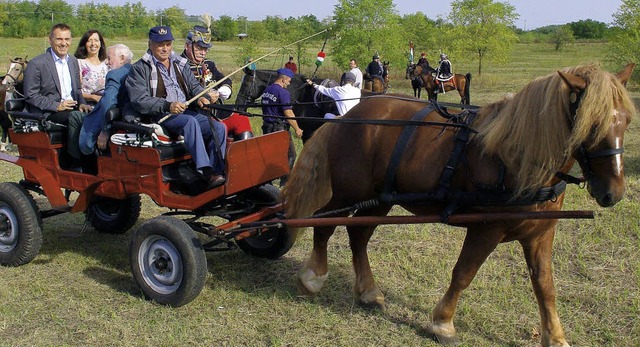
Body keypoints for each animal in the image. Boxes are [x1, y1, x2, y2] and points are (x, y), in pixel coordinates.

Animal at [284, 63, 636, 347]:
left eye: (627, 120)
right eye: (591, 123)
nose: (612, 192)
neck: (517, 159)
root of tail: (348, 117)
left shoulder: (540, 233)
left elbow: (545, 285)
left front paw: (555, 336)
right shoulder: (486, 229)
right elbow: (464, 273)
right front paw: (443, 324)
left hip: (380, 199)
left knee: (358, 236)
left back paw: (369, 292)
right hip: (348, 192)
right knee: (324, 225)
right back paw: (312, 278)